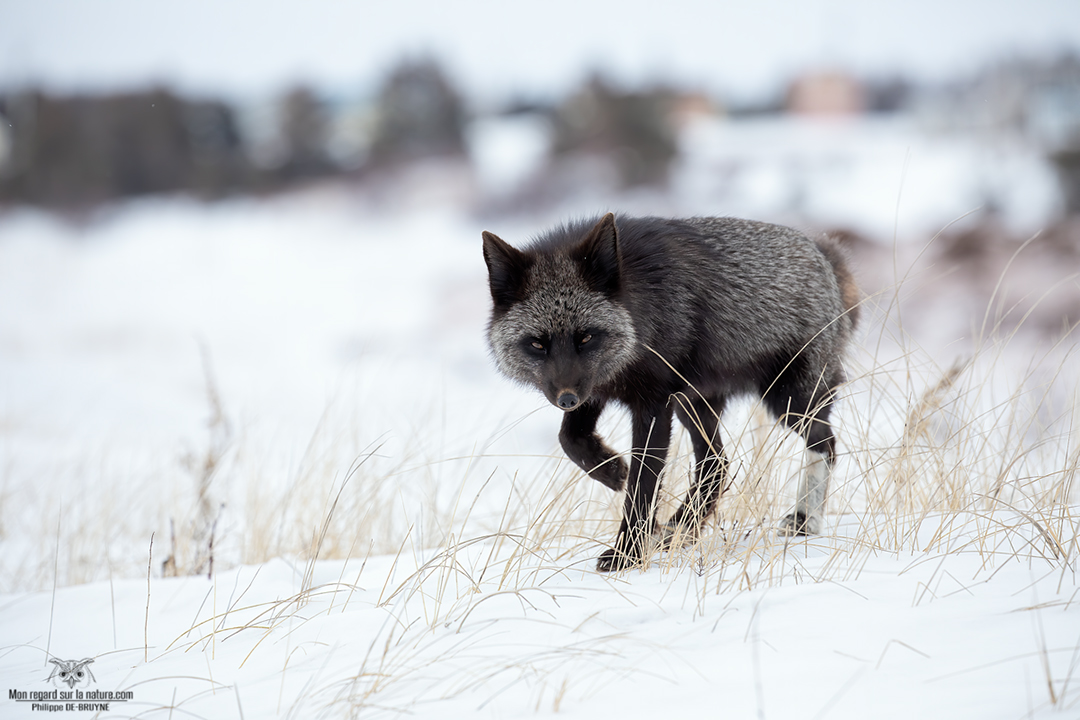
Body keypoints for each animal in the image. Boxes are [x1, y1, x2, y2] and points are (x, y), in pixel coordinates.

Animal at [482, 213, 859, 572]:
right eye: (537, 344)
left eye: (586, 337)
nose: (566, 400)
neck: (641, 309)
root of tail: (822, 251)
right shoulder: (598, 387)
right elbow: (570, 439)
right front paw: (612, 470)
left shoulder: (652, 403)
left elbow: (643, 485)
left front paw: (626, 555)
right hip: (694, 405)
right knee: (717, 464)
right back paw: (681, 528)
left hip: (788, 401)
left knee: (824, 444)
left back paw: (804, 519)